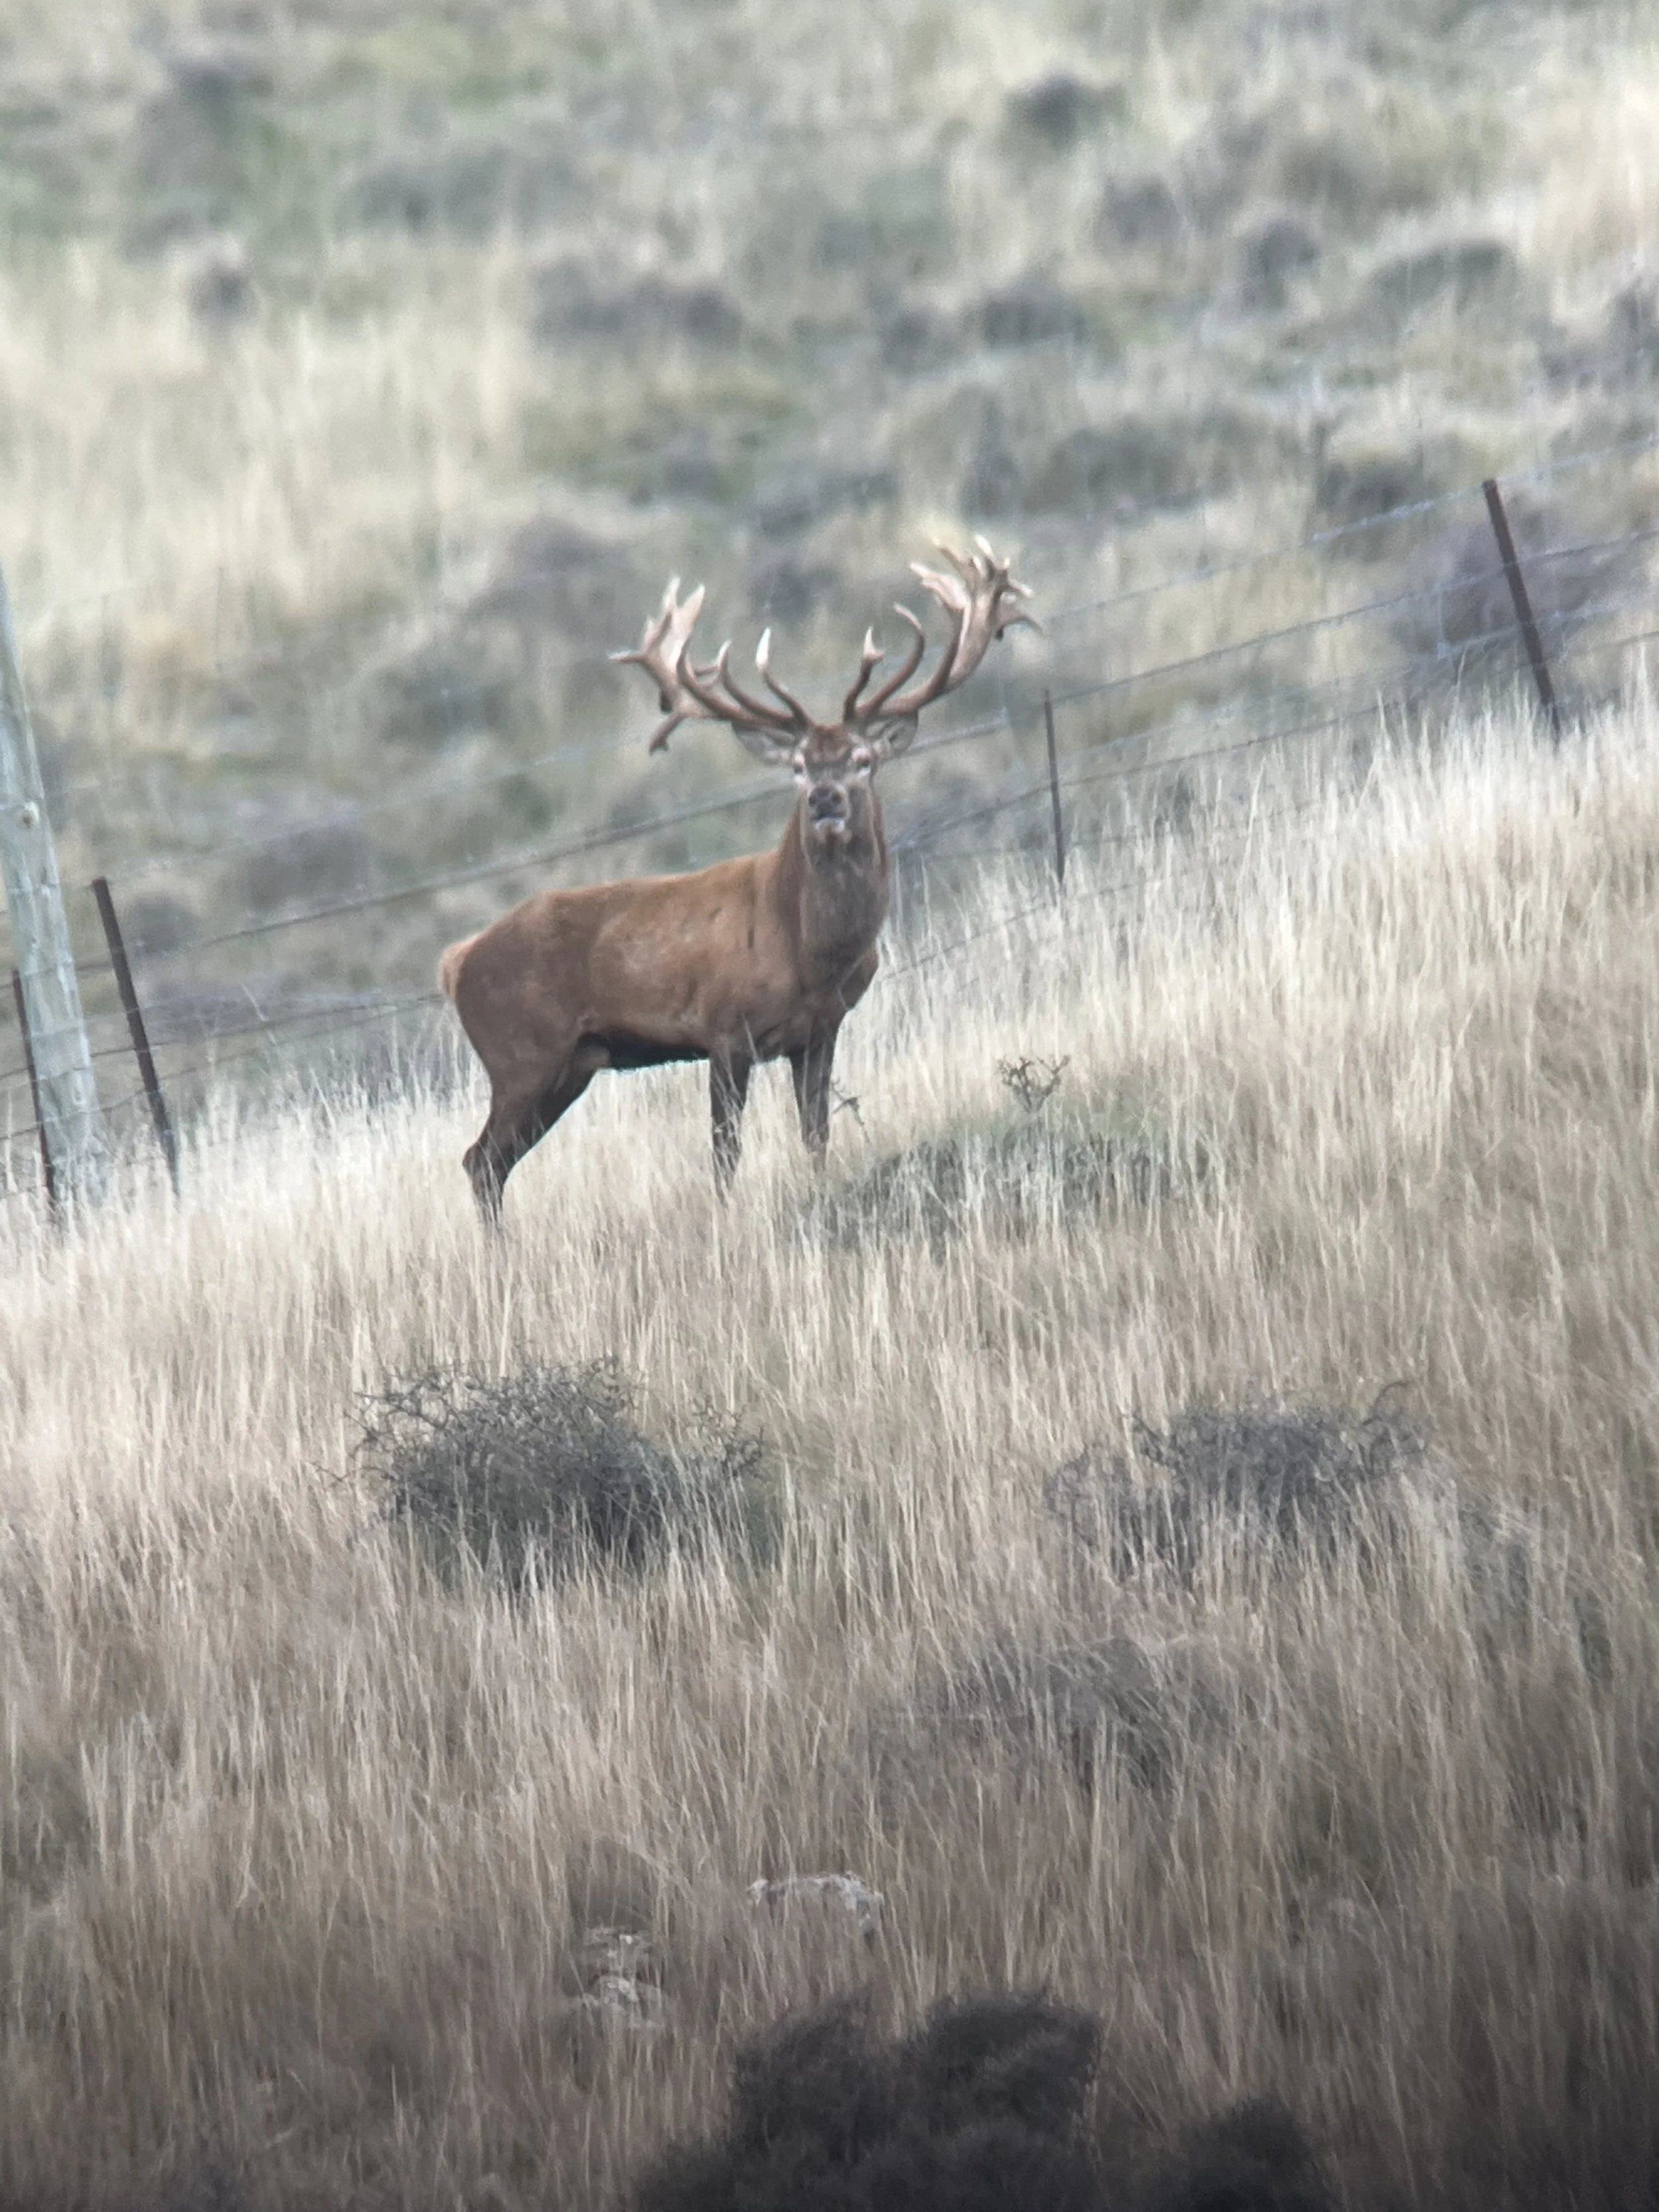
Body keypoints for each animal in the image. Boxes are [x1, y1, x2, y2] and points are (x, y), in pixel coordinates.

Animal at [438, 537, 1035, 1222]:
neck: (810, 951)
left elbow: (816, 1133)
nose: (825, 800)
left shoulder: (821, 1029)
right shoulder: (725, 1027)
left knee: (490, 1161)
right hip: (522, 1055)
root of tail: (456, 963)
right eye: (799, 765)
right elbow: (725, 1151)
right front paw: (727, 1217)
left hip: (572, 1064)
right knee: (481, 1159)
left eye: (863, 759)